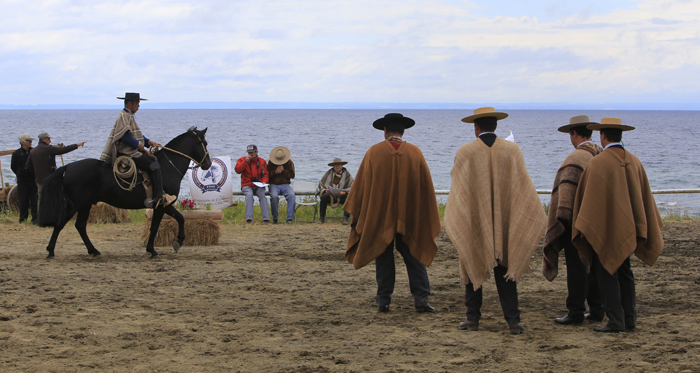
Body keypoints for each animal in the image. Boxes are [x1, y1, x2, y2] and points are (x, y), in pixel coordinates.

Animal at [37, 126, 212, 258]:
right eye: (204, 143)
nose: (208, 164)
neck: (167, 167)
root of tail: (68, 166)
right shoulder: (163, 204)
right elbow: (163, 224)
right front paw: (161, 247)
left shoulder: (163, 205)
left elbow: (173, 220)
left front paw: (166, 245)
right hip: (77, 204)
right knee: (60, 223)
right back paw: (51, 251)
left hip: (85, 205)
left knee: (80, 226)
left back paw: (93, 250)